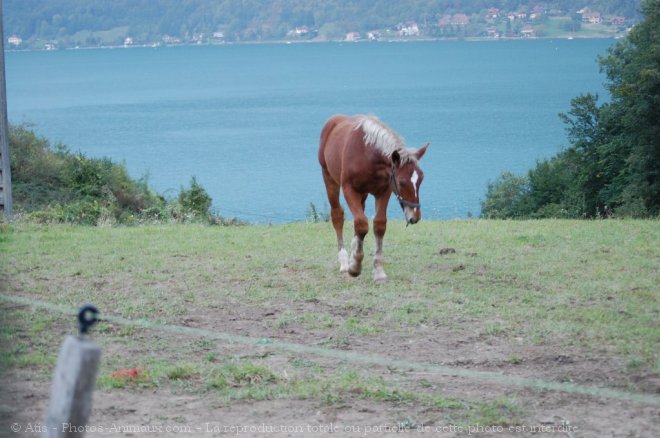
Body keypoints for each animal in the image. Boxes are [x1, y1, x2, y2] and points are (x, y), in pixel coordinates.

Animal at [318, 114, 430, 282]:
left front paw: (378, 270)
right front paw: (355, 267)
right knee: (337, 215)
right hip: (329, 178)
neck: (368, 156)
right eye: (402, 182)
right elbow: (361, 224)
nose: (414, 216)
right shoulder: (349, 190)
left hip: (363, 193)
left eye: (421, 179)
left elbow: (378, 225)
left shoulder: (384, 191)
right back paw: (344, 262)